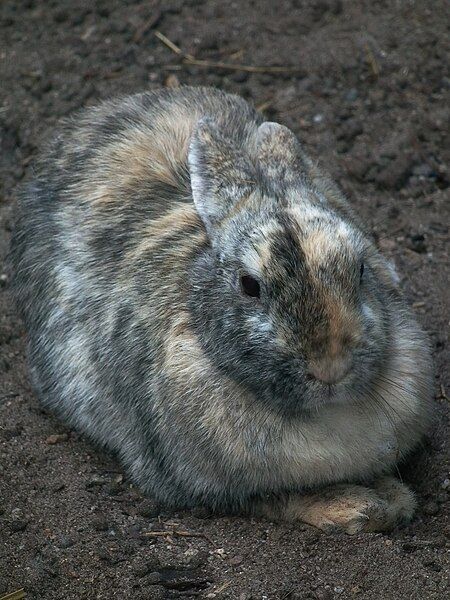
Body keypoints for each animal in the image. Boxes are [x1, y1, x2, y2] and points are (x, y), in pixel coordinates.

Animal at [9, 86, 432, 532]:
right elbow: (277, 499)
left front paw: (391, 498)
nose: (330, 368)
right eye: (249, 285)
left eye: (361, 268)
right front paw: (359, 507)